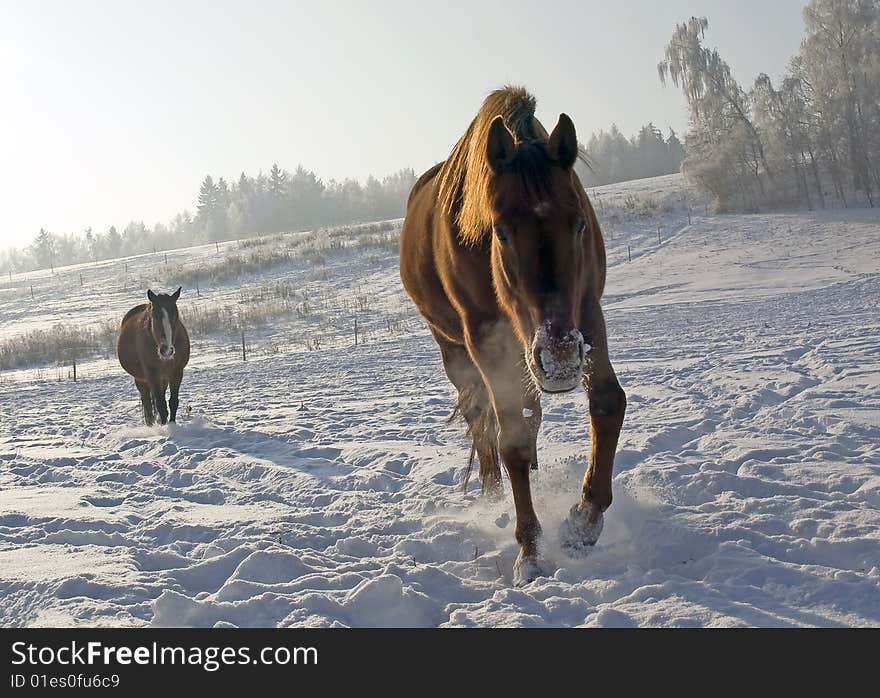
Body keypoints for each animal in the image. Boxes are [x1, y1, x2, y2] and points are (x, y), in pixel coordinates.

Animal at [117, 286, 191, 424]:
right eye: (155, 317)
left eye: (175, 316)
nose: (166, 350)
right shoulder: (152, 374)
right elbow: (160, 405)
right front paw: (164, 426)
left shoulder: (177, 373)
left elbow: (173, 402)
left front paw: (172, 425)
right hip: (141, 380)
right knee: (147, 404)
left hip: (163, 378)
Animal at [398, 87, 624, 580]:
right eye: (499, 232)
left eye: (580, 223)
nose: (559, 359)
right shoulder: (485, 338)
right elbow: (510, 439)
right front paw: (530, 550)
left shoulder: (587, 314)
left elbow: (607, 403)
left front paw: (584, 519)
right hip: (457, 349)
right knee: (481, 422)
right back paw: (491, 493)